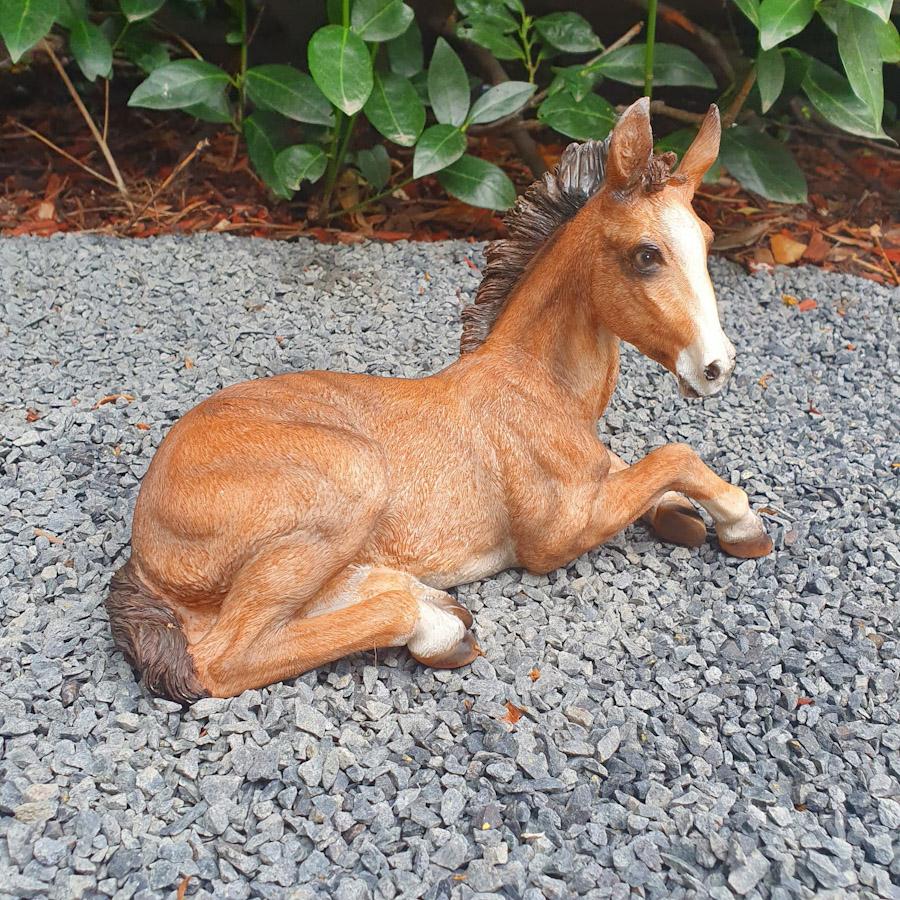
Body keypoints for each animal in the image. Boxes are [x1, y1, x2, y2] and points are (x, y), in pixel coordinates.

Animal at [106, 98, 773, 703]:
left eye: (707, 240)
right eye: (646, 254)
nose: (717, 366)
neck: (540, 388)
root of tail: (146, 546)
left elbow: (645, 471)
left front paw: (683, 514)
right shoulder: (556, 535)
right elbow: (674, 456)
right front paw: (742, 524)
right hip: (351, 478)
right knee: (225, 656)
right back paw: (437, 627)